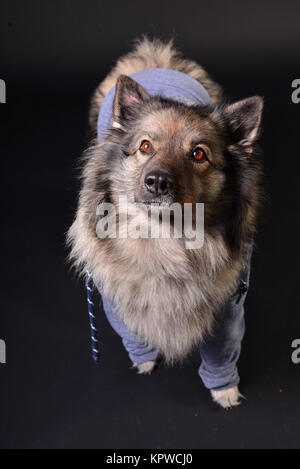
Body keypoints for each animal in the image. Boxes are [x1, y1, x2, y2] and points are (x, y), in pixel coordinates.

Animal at [67, 38, 262, 408]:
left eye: (198, 154)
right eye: (145, 147)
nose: (157, 182)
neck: (166, 240)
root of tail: (155, 59)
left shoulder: (227, 309)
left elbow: (221, 354)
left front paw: (224, 390)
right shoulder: (120, 301)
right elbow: (135, 332)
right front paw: (144, 360)